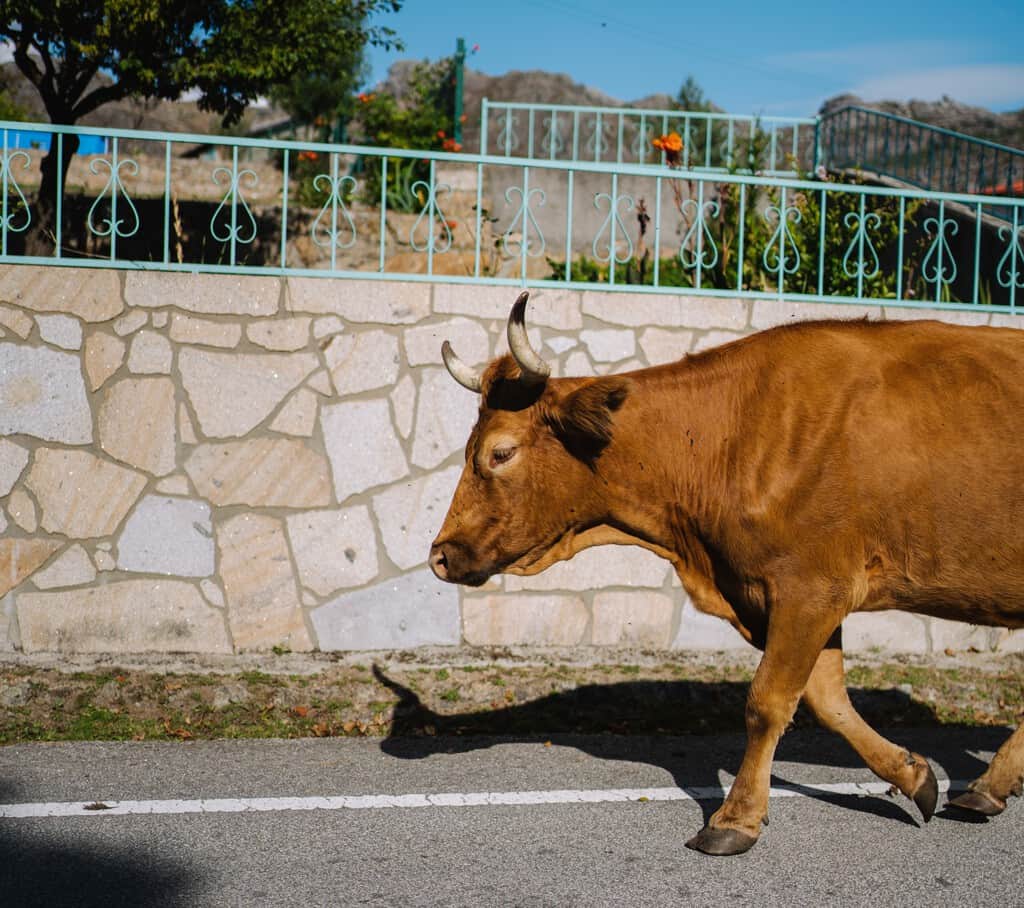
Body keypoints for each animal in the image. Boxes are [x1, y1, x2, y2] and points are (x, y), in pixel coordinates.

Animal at [429, 291, 1024, 855]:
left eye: (500, 453)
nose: (439, 555)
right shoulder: (795, 596)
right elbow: (827, 700)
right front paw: (915, 776)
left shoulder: (811, 590)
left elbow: (767, 702)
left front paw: (734, 820)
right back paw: (985, 788)